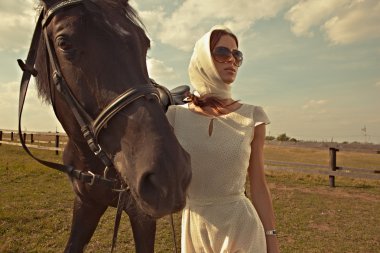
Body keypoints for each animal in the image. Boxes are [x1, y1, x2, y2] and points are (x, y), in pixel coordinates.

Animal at [18, 0, 190, 252]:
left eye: (145, 43)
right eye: (64, 43)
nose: (169, 174)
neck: (93, 161)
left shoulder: (142, 218)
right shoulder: (86, 205)